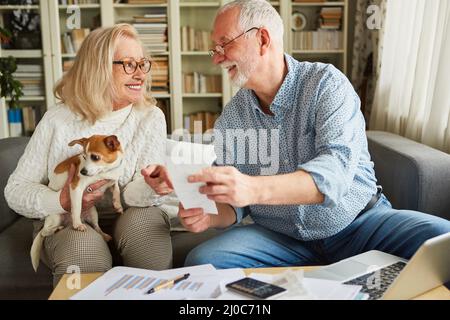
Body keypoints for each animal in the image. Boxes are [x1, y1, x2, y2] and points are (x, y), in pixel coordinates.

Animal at [30, 134, 124, 272]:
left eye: (95, 157)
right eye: (84, 157)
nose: (82, 172)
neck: (105, 172)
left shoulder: (112, 181)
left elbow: (116, 189)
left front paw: (118, 205)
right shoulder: (76, 188)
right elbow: (76, 208)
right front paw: (77, 224)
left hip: (93, 212)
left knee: (96, 227)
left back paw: (103, 235)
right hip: (56, 217)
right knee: (44, 232)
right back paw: (57, 228)